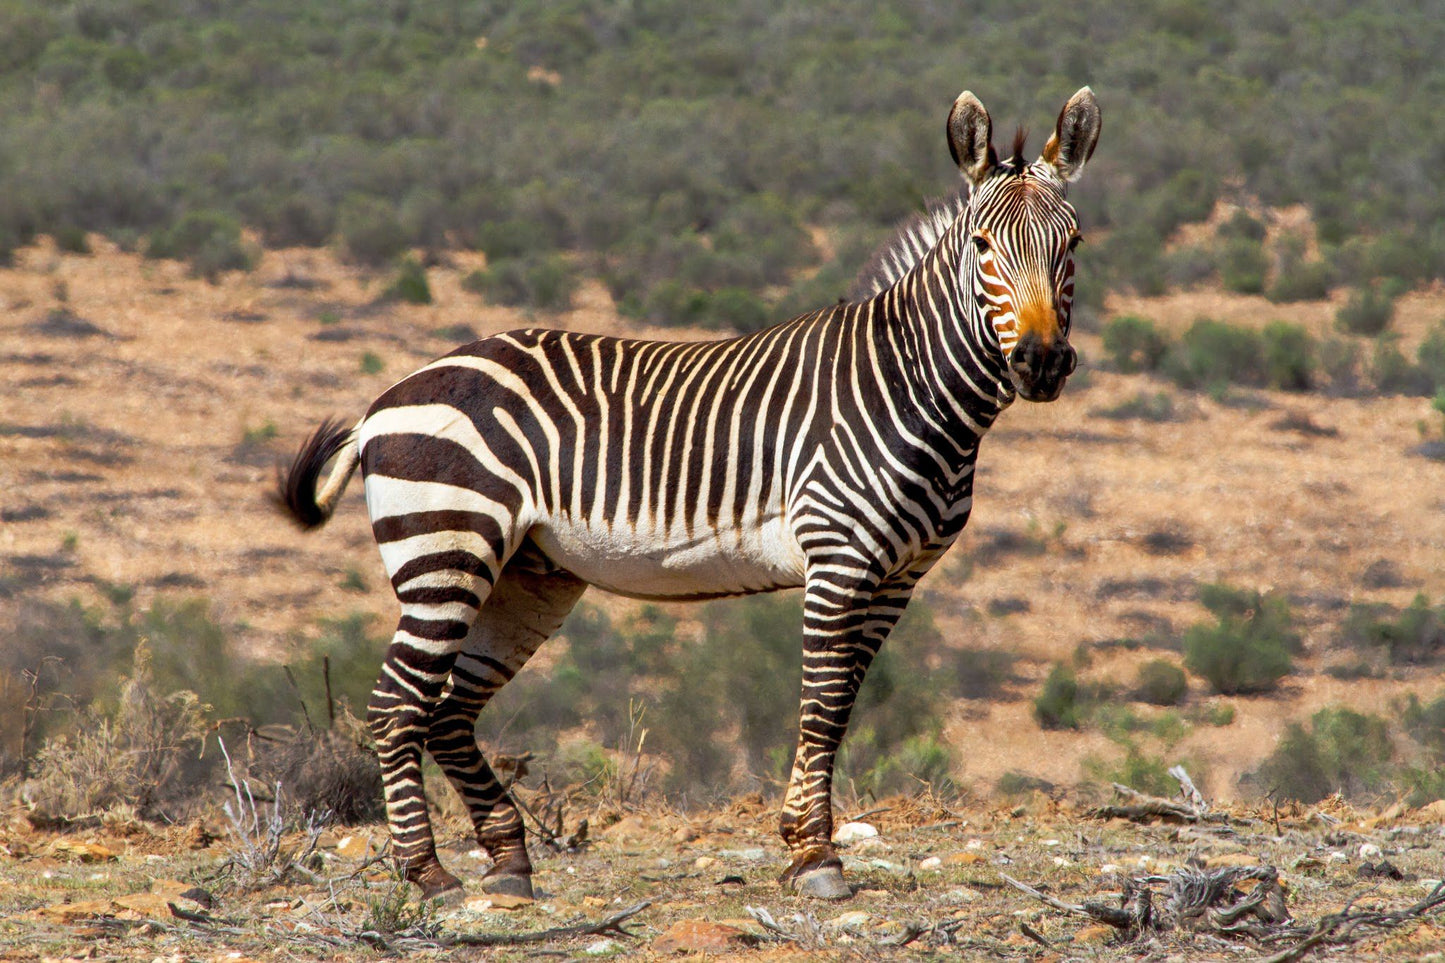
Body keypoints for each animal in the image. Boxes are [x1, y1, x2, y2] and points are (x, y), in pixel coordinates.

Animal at [275, 88, 1098, 902]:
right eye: (982, 247)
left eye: (1075, 244)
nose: (1041, 363)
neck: (911, 389)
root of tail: (385, 400)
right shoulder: (839, 559)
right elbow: (822, 707)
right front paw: (815, 856)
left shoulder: (899, 576)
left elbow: (839, 711)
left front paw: (804, 843)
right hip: (445, 551)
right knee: (395, 707)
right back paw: (428, 874)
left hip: (528, 576)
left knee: (447, 710)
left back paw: (508, 859)